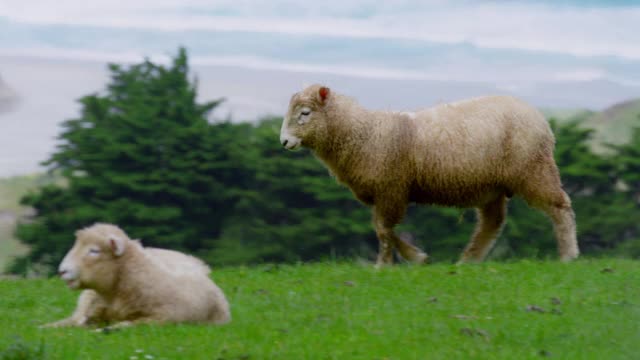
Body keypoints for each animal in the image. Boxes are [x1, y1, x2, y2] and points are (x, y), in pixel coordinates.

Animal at [41, 222, 230, 330]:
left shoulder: (160, 320)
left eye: (94, 251)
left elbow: (124, 325)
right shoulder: (93, 315)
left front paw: (105, 330)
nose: (62, 271)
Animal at [280, 84, 580, 268]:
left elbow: (383, 229)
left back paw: (569, 255)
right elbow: (383, 228)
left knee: (560, 206)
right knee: (492, 223)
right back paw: (468, 260)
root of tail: (538, 116)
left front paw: (386, 264)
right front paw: (415, 258)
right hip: (492, 186)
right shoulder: (387, 192)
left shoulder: (391, 188)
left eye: (305, 113)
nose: (284, 141)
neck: (364, 133)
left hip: (534, 169)